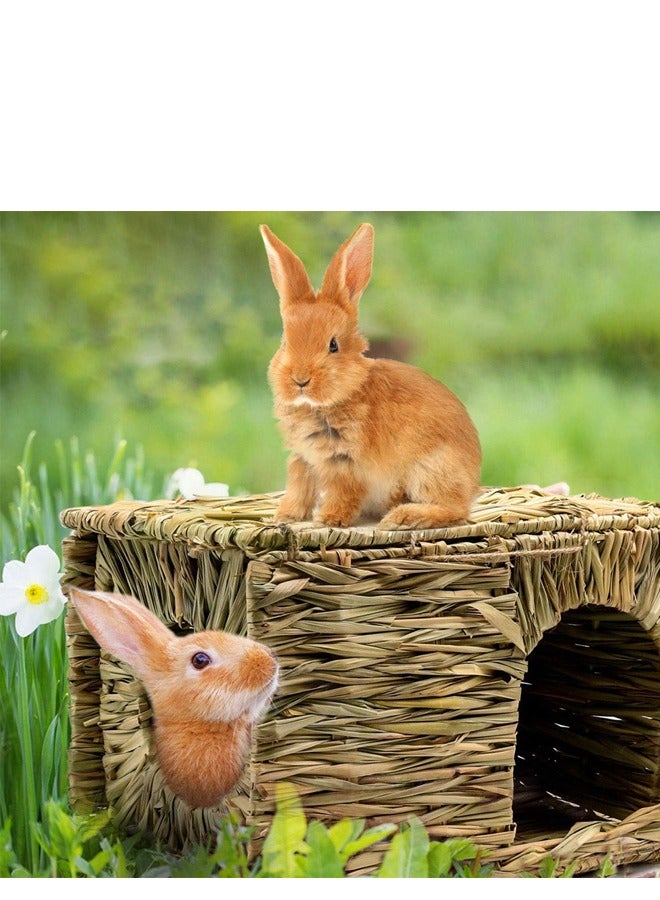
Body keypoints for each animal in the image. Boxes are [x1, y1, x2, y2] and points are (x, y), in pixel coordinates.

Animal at [260, 222, 482, 530]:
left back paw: (402, 517)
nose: (300, 380)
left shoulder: (347, 463)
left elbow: (343, 491)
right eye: (284, 343)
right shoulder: (303, 458)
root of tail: (473, 482)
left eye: (333, 345)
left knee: (454, 509)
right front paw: (286, 516)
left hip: (429, 470)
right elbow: (298, 487)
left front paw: (329, 519)